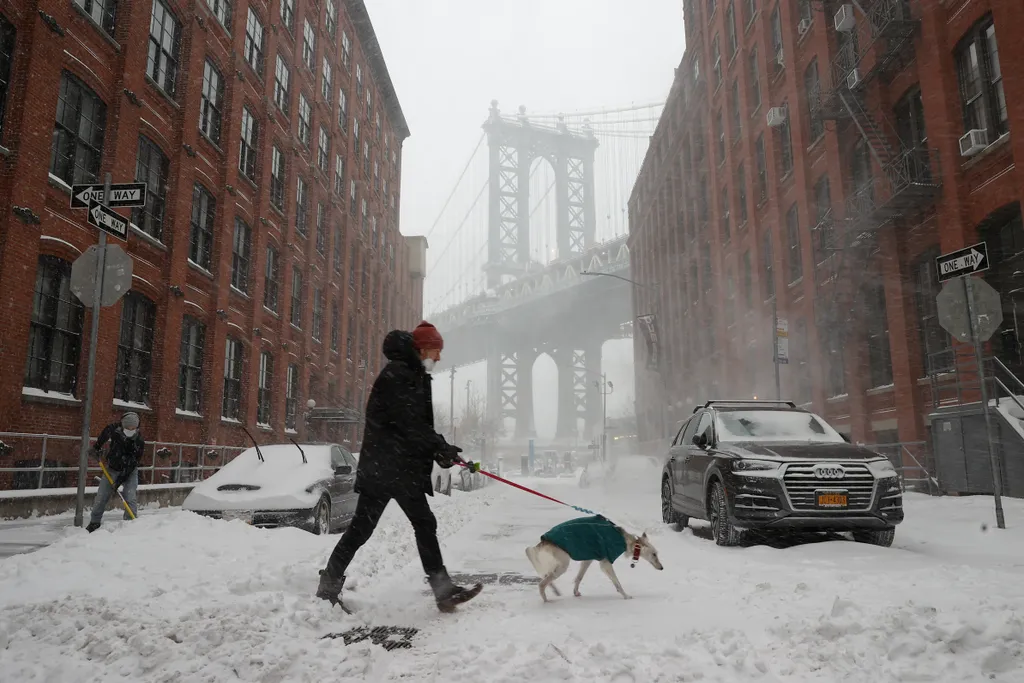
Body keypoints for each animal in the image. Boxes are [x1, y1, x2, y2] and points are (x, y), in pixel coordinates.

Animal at [524, 516, 659, 602]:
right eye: (654, 554)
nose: (661, 567)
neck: (624, 540)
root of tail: (544, 540)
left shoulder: (588, 560)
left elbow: (579, 578)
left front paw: (576, 592)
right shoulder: (606, 562)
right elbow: (617, 583)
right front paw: (626, 596)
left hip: (556, 565)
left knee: (545, 578)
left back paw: (555, 591)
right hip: (562, 565)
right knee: (542, 584)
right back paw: (546, 600)